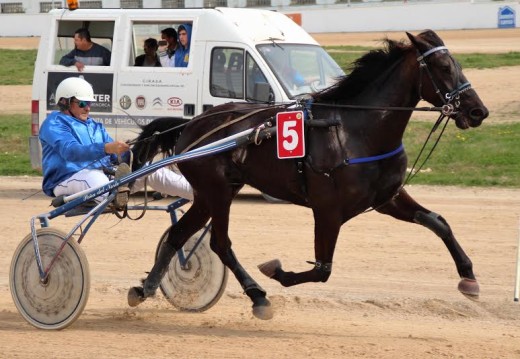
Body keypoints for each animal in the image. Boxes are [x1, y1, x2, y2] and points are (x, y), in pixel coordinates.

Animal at [129, 29, 488, 320]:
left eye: (457, 63)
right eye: (443, 67)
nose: (477, 111)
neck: (357, 131)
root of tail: (190, 124)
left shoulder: (388, 198)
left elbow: (439, 222)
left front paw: (469, 277)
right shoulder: (327, 209)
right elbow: (322, 270)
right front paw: (275, 270)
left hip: (214, 191)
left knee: (179, 236)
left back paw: (145, 287)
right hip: (216, 191)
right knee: (220, 242)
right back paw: (258, 296)